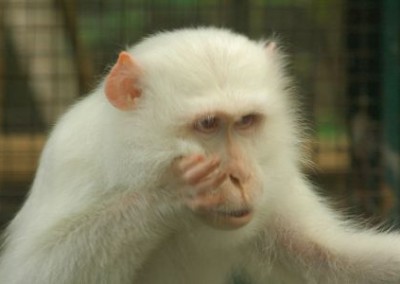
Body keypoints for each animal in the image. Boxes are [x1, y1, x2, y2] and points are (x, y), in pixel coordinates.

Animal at [0, 27, 400, 284]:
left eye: (246, 121)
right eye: (208, 124)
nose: (240, 176)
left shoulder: (273, 178)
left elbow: (329, 259)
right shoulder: (74, 164)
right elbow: (33, 273)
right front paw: (168, 195)